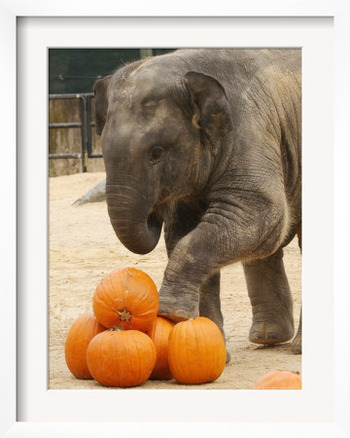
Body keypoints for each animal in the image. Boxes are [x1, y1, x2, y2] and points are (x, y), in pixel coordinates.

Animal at [94, 48, 302, 356]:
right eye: (103, 154)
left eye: (157, 152)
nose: (155, 211)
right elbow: (183, 233)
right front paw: (210, 345)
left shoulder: (251, 134)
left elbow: (262, 215)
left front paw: (171, 313)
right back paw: (267, 339)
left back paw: (294, 347)